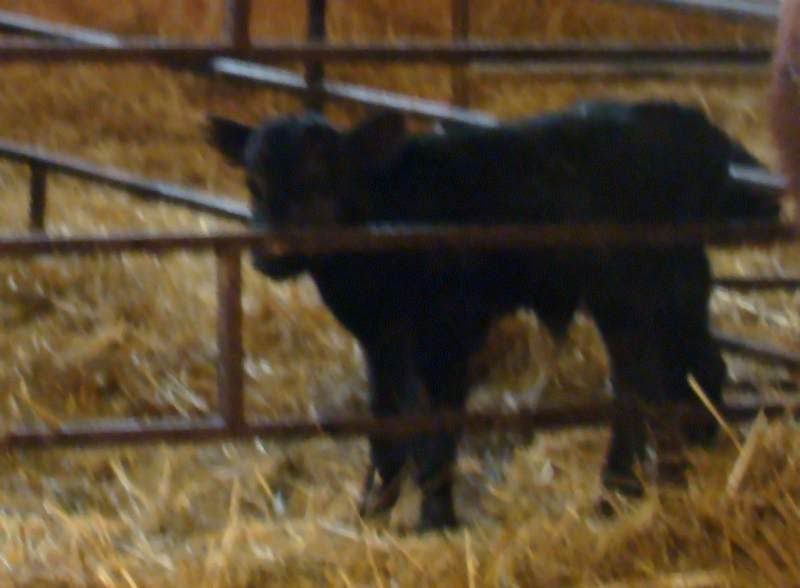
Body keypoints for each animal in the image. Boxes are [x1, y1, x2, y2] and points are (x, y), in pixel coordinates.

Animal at [207, 101, 779, 530]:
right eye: (253, 184)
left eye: (322, 180)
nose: (270, 254)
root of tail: (697, 129)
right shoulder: (380, 339)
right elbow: (387, 426)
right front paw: (371, 511)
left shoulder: (447, 333)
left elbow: (435, 430)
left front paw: (435, 519)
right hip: (675, 287)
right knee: (696, 366)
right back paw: (686, 462)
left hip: (632, 290)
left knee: (643, 384)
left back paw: (618, 491)